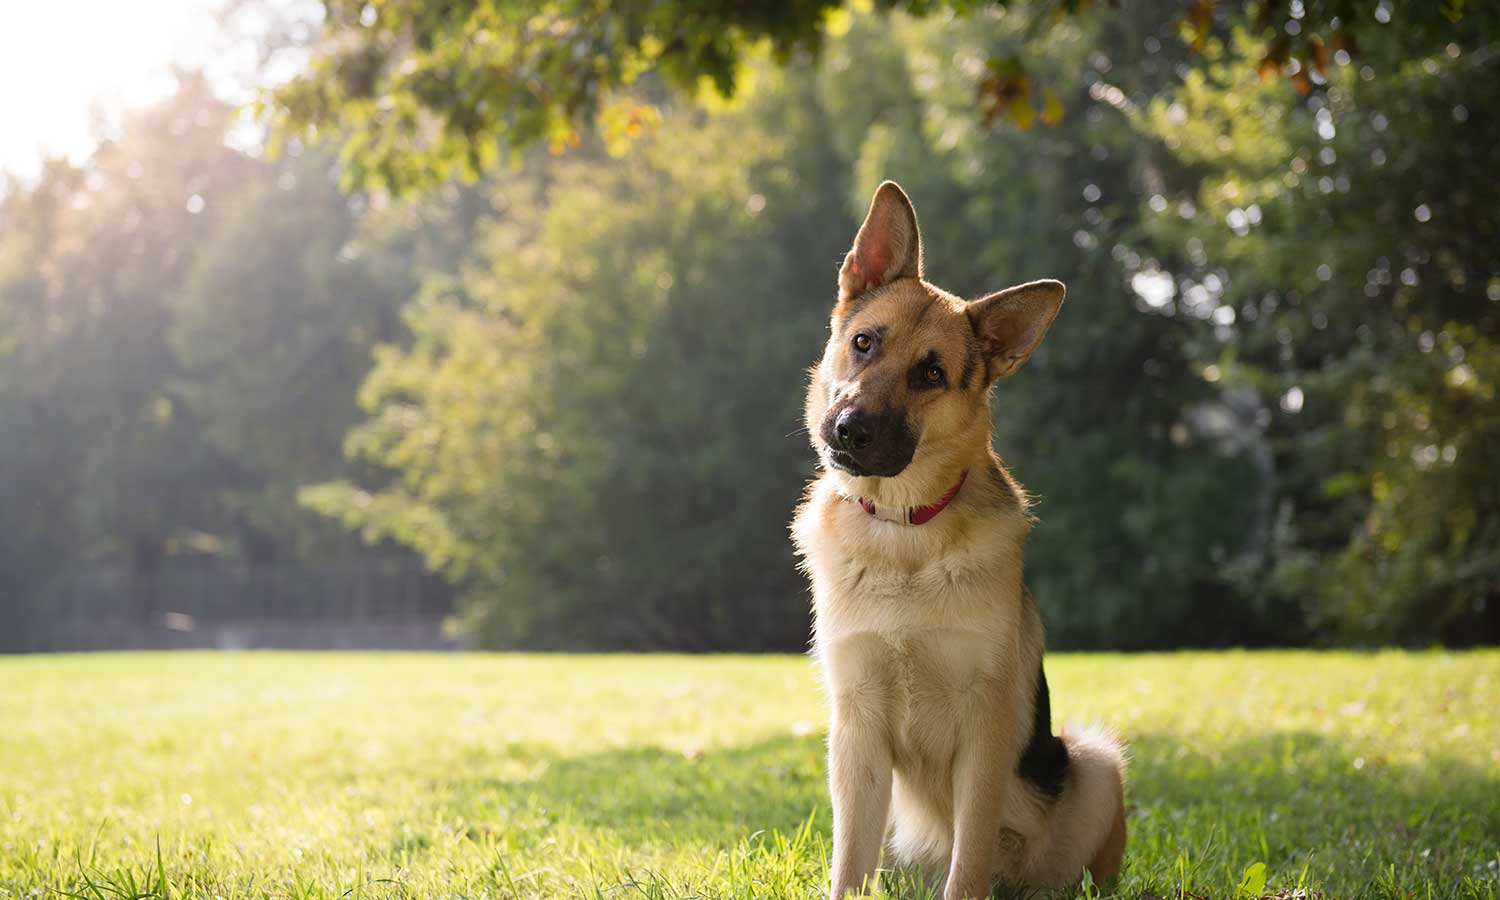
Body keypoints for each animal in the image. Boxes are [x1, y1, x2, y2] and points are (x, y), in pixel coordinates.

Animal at [798, 184, 1128, 900]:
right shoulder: (856, 733)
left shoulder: (986, 730)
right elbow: (848, 863)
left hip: (1094, 763)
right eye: (864, 343)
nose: (849, 429)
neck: (904, 531)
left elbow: (968, 859)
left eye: (931, 374)